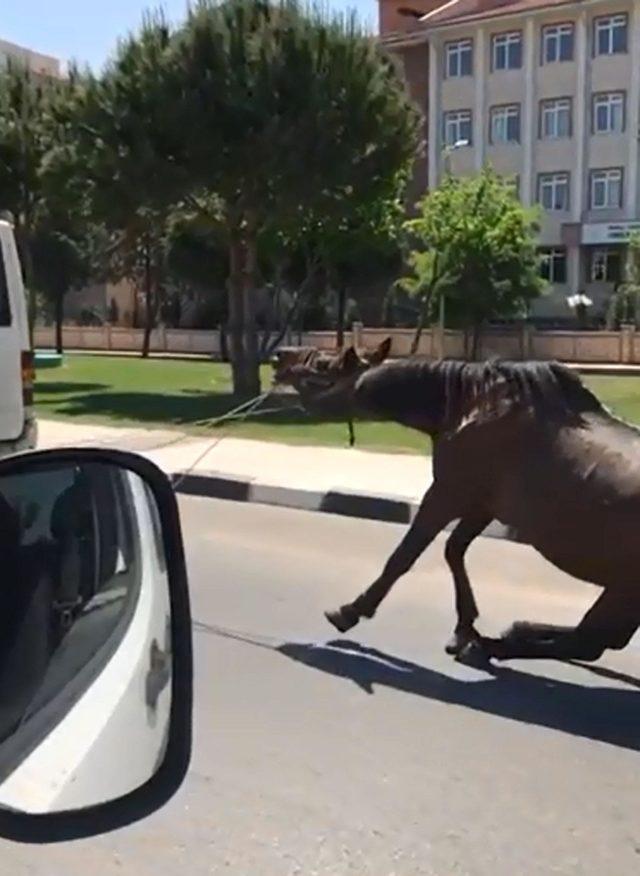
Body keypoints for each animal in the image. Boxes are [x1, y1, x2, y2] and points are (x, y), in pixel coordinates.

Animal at [272, 340, 640, 664]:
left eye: (323, 364)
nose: (279, 356)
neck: (468, 404)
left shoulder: (447, 493)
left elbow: (404, 556)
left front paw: (351, 610)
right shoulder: (481, 505)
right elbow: (454, 550)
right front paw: (464, 626)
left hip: (623, 591)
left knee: (590, 642)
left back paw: (492, 645)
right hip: (620, 593)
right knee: (595, 640)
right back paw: (511, 632)